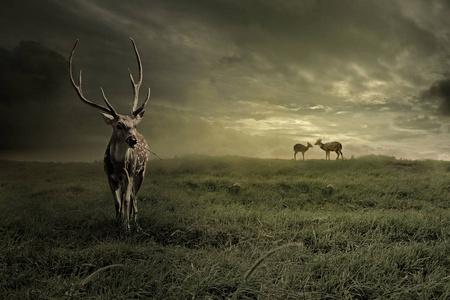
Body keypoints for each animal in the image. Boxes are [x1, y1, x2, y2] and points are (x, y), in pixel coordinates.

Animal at [67, 38, 150, 230]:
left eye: (134, 125)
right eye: (118, 125)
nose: (133, 140)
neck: (118, 165)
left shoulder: (129, 174)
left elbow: (126, 200)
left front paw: (126, 227)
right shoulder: (109, 176)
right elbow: (117, 202)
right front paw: (117, 222)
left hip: (141, 171)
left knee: (135, 197)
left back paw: (135, 221)